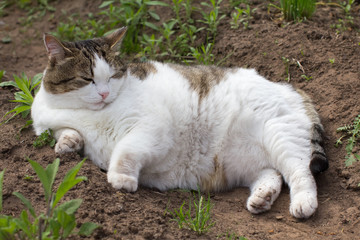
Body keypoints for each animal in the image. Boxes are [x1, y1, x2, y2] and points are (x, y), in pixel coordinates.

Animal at [32, 27, 328, 218]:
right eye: (88, 79)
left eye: (113, 76)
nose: (104, 93)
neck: (87, 113)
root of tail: (291, 87)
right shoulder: (52, 122)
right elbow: (66, 132)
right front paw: (68, 143)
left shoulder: (152, 129)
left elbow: (126, 150)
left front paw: (121, 178)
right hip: (251, 163)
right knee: (272, 174)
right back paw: (262, 198)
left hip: (282, 139)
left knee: (301, 174)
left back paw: (303, 204)